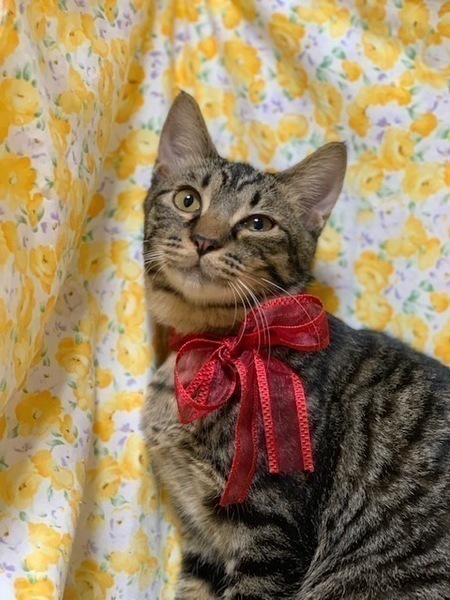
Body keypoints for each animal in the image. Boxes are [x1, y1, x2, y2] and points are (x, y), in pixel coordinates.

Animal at [143, 92, 450, 600]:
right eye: (187, 199)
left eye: (257, 223)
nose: (204, 239)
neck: (211, 349)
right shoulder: (202, 537)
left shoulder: (269, 530)